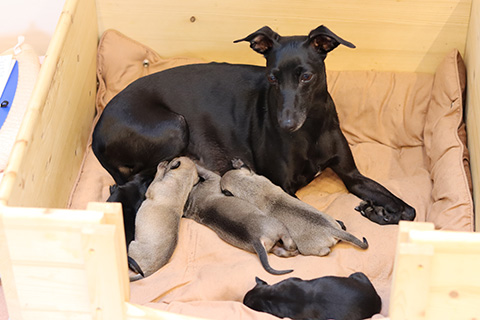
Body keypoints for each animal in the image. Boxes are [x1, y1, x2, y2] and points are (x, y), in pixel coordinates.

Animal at [92, 25, 414, 225]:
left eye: (306, 76)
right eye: (272, 77)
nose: (286, 125)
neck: (310, 131)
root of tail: (96, 132)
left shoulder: (352, 176)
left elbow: (409, 210)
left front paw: (381, 212)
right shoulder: (283, 187)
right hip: (175, 126)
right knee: (137, 177)